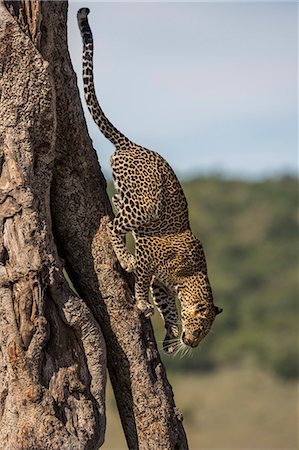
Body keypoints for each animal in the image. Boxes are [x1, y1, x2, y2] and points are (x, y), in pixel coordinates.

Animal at [77, 6, 223, 352]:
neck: (190, 276)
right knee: (114, 225)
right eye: (198, 326)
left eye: (203, 333)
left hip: (132, 195)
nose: (192, 344)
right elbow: (143, 284)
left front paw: (169, 336)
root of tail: (133, 145)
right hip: (147, 206)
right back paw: (124, 257)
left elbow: (166, 305)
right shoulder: (149, 260)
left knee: (117, 202)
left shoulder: (163, 284)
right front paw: (143, 306)